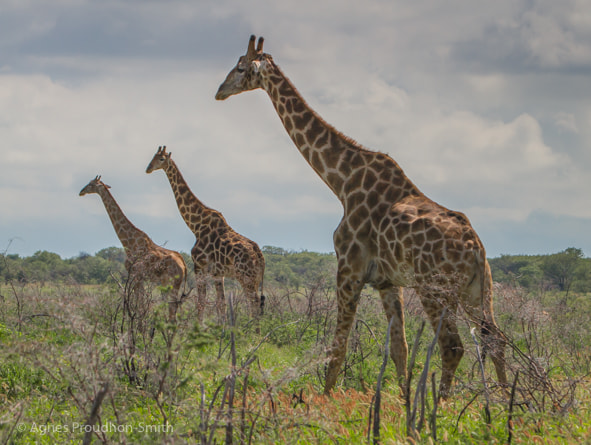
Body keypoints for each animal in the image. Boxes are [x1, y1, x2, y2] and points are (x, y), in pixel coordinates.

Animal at [80, 174, 187, 320]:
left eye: (91, 184)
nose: (81, 192)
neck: (128, 243)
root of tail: (184, 266)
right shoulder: (138, 278)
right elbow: (140, 306)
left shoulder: (136, 275)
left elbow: (140, 307)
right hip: (170, 283)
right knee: (173, 310)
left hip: (172, 282)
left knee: (172, 310)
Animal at [147, 146, 268, 322]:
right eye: (153, 156)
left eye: (161, 159)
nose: (148, 168)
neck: (196, 226)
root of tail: (260, 258)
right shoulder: (218, 274)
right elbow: (221, 304)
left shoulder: (199, 266)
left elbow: (201, 302)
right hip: (255, 279)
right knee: (256, 304)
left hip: (246, 277)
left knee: (253, 303)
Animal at [217, 34, 508, 396]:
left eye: (241, 67)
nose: (219, 90)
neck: (342, 181)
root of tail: (476, 249)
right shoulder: (387, 282)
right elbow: (399, 347)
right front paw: (400, 401)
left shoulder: (349, 268)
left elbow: (338, 345)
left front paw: (327, 399)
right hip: (478, 290)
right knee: (495, 339)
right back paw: (507, 402)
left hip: (435, 290)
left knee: (453, 346)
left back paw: (440, 405)